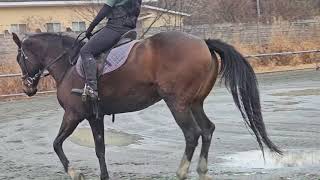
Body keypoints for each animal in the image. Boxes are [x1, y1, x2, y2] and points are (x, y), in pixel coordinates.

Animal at [11, 32, 280, 180]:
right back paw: (202, 170)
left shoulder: (73, 114)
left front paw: (75, 173)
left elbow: (56, 144)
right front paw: (104, 176)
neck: (69, 63)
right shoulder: (94, 117)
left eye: (19, 58)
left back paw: (182, 172)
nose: (27, 88)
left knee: (192, 134)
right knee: (207, 130)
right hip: (194, 103)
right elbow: (100, 149)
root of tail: (203, 43)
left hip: (177, 103)